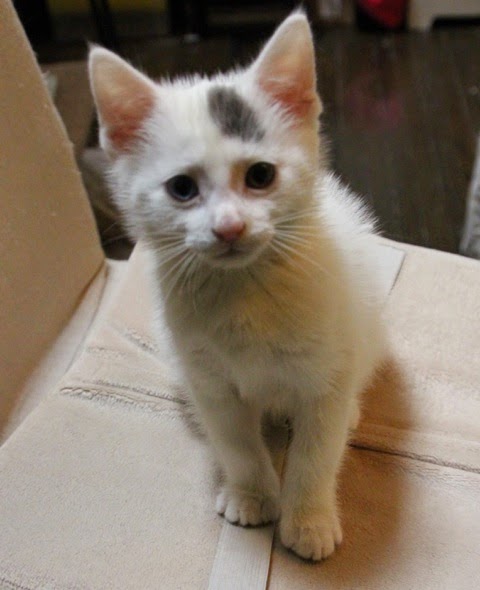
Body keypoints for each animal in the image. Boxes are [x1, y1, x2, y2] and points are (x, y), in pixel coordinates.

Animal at [88, 11, 385, 561]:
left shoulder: (327, 375)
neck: (245, 291)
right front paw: (252, 494)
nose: (229, 227)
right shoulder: (210, 381)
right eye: (182, 188)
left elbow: (317, 451)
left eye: (261, 175)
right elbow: (237, 443)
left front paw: (308, 518)